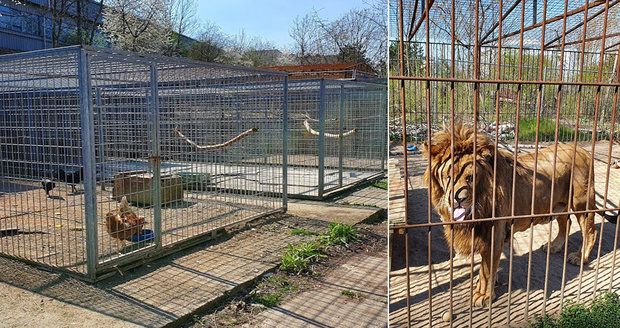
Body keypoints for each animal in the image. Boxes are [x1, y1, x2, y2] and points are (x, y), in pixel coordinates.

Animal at [422, 123, 616, 308]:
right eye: (448, 177)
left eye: (471, 178)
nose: (458, 200)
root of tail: (584, 151)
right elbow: (488, 266)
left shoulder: (494, 233)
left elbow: (487, 269)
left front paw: (483, 295)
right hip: (559, 204)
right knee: (565, 224)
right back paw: (554, 246)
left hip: (581, 202)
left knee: (590, 231)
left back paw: (580, 257)